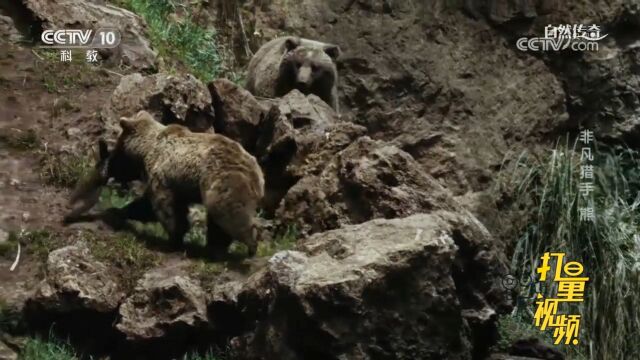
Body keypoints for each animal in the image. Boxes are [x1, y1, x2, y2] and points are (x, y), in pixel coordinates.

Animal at [65, 111, 264, 258]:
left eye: (118, 153)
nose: (109, 168)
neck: (146, 150)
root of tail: (257, 173)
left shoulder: (162, 175)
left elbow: (163, 206)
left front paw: (174, 238)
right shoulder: (179, 184)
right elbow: (148, 206)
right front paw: (118, 211)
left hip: (222, 181)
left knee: (228, 213)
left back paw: (251, 244)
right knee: (218, 222)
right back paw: (216, 247)